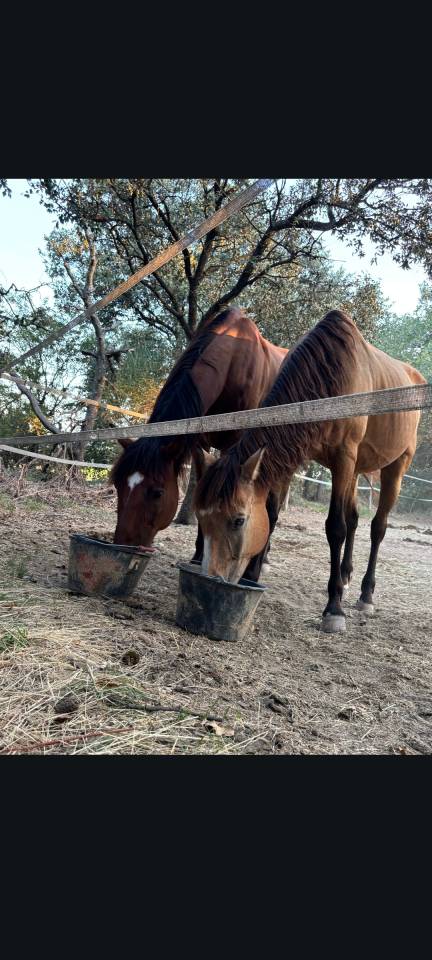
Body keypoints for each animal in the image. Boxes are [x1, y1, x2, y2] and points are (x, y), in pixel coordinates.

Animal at [110, 307, 288, 577]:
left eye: (157, 492)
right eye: (118, 485)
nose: (123, 545)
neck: (235, 360)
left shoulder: (234, 446)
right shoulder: (200, 444)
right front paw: (198, 555)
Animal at [194, 309, 426, 634]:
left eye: (238, 520)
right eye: (201, 518)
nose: (212, 576)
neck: (330, 377)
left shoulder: (343, 458)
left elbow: (335, 528)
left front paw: (333, 609)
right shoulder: (295, 458)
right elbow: (273, 515)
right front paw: (253, 576)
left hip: (396, 466)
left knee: (377, 527)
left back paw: (366, 594)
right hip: (356, 471)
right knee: (355, 519)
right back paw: (345, 576)